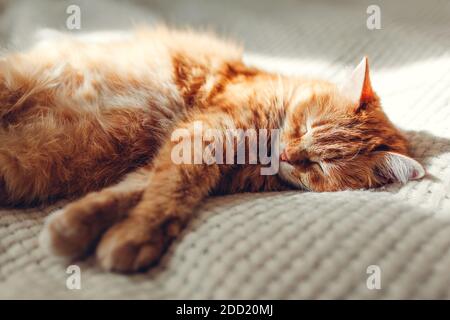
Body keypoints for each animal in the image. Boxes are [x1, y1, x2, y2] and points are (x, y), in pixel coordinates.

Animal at [0, 28, 422, 272]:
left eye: (319, 165)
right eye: (304, 126)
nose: (288, 156)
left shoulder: (187, 163)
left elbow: (144, 194)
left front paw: (86, 230)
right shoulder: (202, 138)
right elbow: (173, 190)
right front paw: (136, 237)